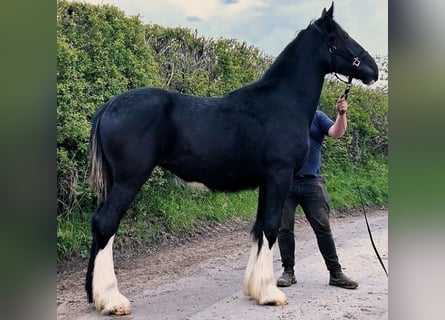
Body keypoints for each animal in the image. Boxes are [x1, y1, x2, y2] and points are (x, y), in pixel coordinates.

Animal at [86, 3, 378, 316]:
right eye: (339, 37)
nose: (373, 69)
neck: (282, 102)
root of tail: (109, 106)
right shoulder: (279, 177)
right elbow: (271, 227)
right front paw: (269, 294)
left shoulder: (266, 182)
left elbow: (260, 227)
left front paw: (254, 289)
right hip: (129, 180)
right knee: (106, 223)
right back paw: (112, 300)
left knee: (98, 222)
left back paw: (93, 295)